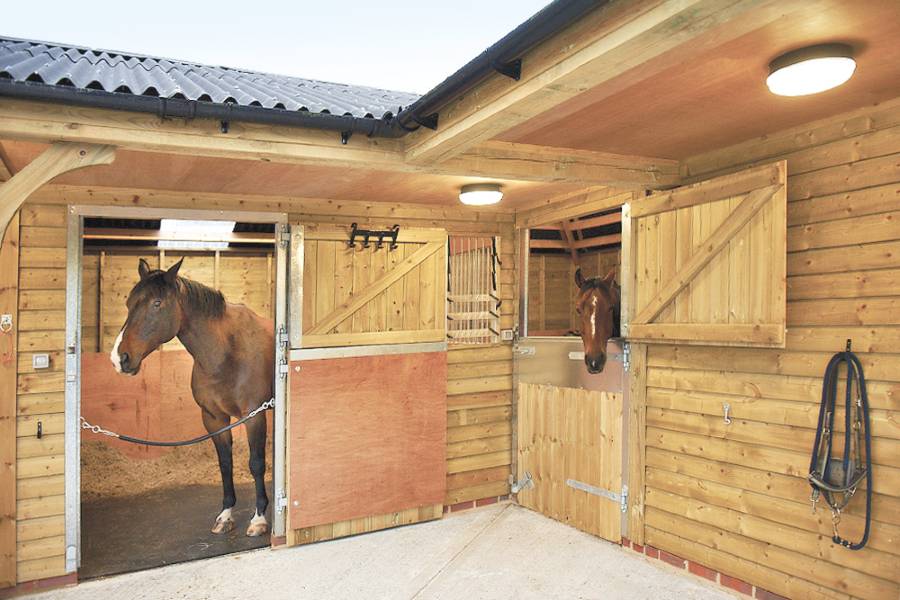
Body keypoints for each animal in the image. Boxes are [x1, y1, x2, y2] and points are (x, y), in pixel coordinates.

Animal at [109, 258, 274, 537]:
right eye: (128, 303)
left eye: (157, 303)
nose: (120, 359)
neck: (226, 351)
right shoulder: (214, 419)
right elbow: (225, 463)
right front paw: (225, 515)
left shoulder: (254, 415)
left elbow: (256, 463)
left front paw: (259, 518)